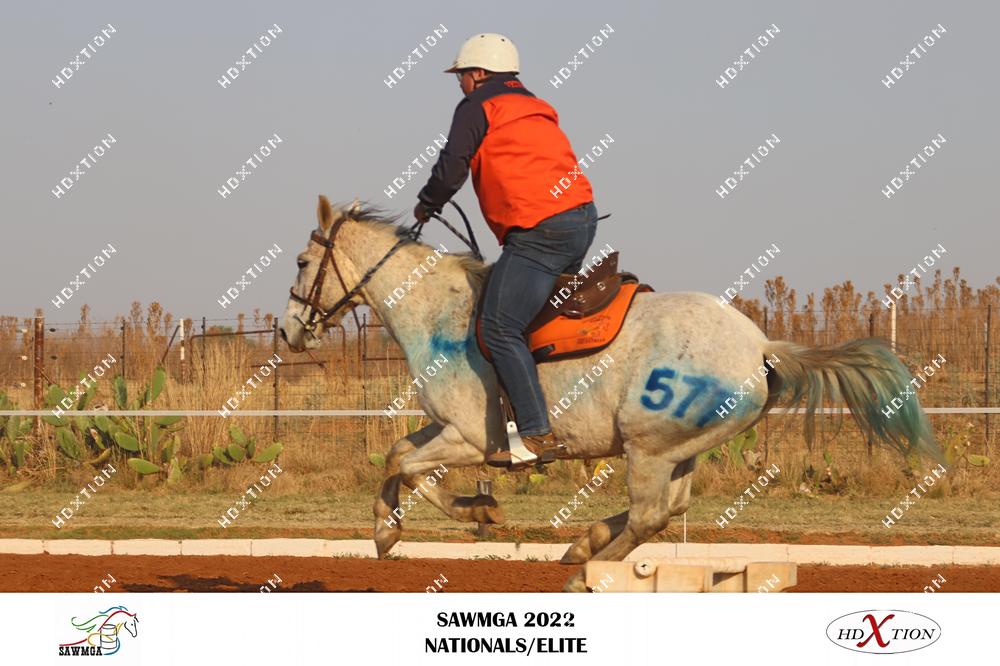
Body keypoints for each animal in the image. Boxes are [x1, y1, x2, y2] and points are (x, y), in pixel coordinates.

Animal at [279, 196, 945, 592]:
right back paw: (587, 544)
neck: (439, 308)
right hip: (680, 450)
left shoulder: (470, 437)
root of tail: (761, 345)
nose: (288, 331)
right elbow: (397, 454)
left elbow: (409, 467)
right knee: (670, 509)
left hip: (646, 448)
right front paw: (395, 527)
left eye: (302, 262)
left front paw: (457, 516)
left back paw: (585, 567)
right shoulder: (447, 430)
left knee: (651, 513)